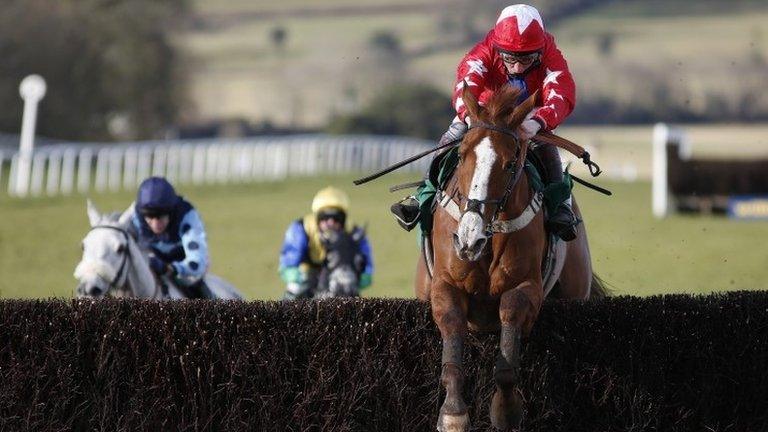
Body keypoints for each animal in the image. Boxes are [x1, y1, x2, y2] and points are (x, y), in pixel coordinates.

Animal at [414, 85, 608, 432]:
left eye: (509, 163)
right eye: (462, 156)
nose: (468, 237)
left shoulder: (524, 285)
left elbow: (509, 333)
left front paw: (506, 410)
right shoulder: (445, 284)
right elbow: (452, 328)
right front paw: (453, 412)